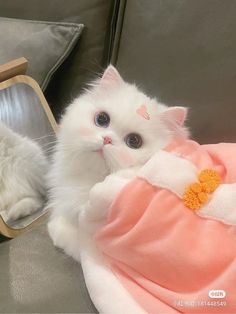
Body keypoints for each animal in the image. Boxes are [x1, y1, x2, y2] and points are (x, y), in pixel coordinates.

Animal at [47, 65, 188, 262]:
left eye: (134, 141)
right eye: (102, 119)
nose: (106, 139)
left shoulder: (87, 241)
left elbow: (64, 232)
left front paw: (54, 225)